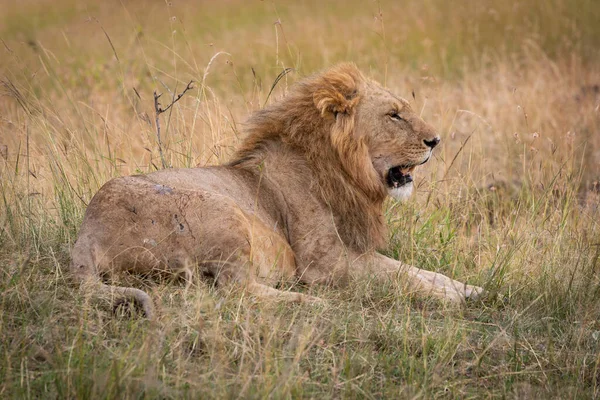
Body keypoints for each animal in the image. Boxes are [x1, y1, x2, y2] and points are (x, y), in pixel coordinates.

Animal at [70, 62, 482, 318]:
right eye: (394, 115)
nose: (436, 141)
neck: (341, 169)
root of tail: (87, 230)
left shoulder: (352, 249)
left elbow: (414, 270)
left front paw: (467, 288)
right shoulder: (324, 262)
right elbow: (399, 276)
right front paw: (448, 298)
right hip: (223, 212)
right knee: (235, 290)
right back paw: (311, 303)